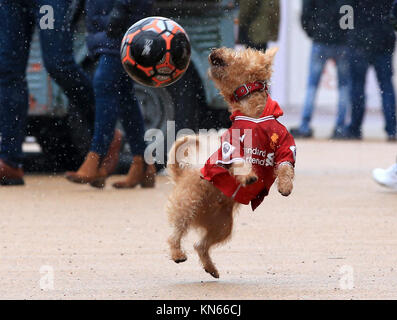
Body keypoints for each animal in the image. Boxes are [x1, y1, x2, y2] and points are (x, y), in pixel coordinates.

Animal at [166, 46, 296, 278]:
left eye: (241, 52)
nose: (213, 50)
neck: (252, 112)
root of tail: (184, 174)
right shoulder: (231, 147)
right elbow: (241, 162)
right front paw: (249, 175)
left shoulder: (285, 147)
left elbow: (285, 168)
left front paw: (285, 186)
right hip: (188, 203)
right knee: (175, 232)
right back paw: (177, 253)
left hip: (223, 226)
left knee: (200, 245)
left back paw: (211, 268)